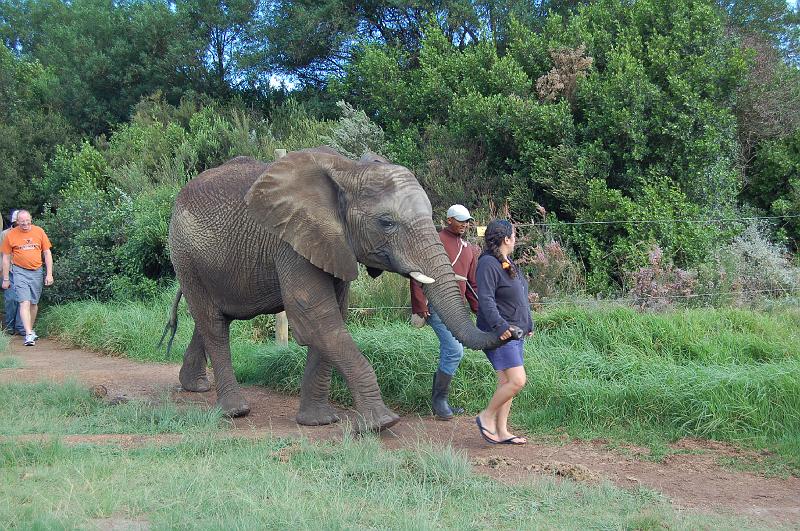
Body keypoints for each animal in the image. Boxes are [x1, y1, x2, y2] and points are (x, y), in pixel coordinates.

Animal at [161, 146, 505, 432]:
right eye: (386, 223)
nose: (509, 331)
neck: (349, 170)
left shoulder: (333, 244)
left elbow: (333, 316)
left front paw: (318, 422)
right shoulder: (292, 242)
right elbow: (314, 317)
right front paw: (382, 424)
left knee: (214, 319)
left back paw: (195, 387)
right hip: (185, 254)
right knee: (214, 324)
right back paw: (235, 411)